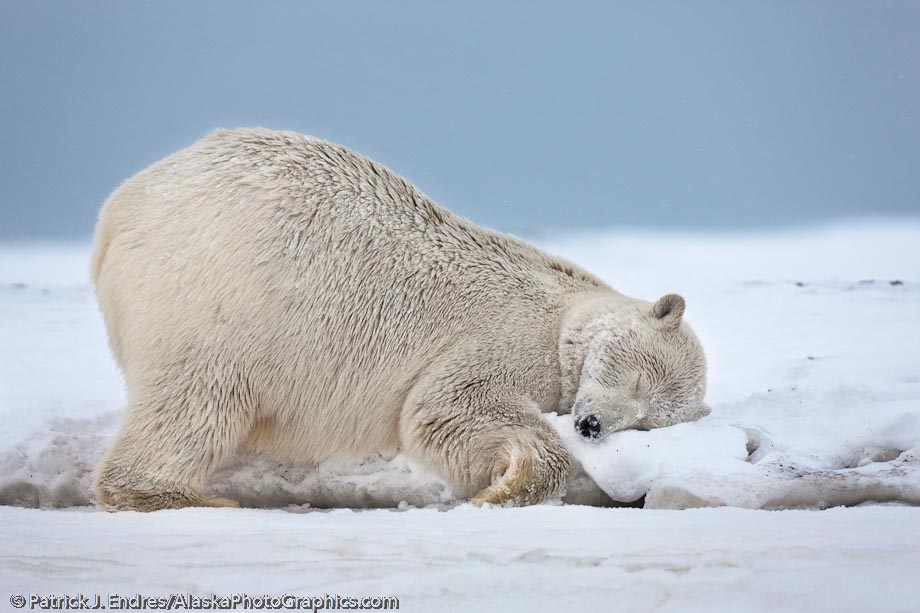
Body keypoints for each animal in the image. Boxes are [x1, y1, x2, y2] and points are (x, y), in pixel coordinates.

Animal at [91, 126, 712, 510]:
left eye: (647, 422)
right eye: (634, 377)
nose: (591, 426)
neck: (562, 311)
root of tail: (121, 209)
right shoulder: (507, 334)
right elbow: (444, 407)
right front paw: (501, 491)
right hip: (216, 297)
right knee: (197, 400)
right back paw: (186, 496)